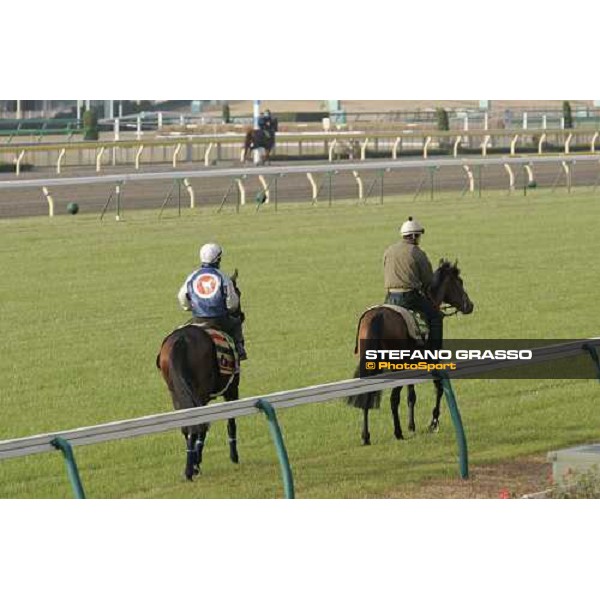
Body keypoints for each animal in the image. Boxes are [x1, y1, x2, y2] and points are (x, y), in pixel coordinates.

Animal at [158, 270, 245, 480]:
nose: (241, 314)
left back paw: (189, 467)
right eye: (237, 292)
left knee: (187, 425)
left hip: (176, 392)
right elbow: (230, 421)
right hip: (201, 391)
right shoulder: (232, 388)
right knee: (198, 424)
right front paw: (233, 456)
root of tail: (182, 339)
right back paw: (192, 467)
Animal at [346, 258, 474, 446]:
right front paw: (433, 422)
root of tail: (378, 316)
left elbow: (411, 395)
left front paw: (412, 425)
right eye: (459, 282)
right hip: (395, 366)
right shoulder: (431, 359)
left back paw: (366, 436)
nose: (469, 305)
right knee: (393, 398)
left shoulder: (411, 364)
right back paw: (397, 432)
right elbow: (438, 387)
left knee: (368, 395)